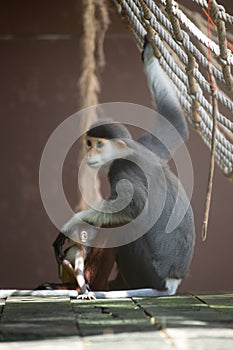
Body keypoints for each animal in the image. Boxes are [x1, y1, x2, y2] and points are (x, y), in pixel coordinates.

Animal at [52, 41, 195, 298]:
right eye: (89, 143)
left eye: (99, 145)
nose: (89, 154)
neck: (127, 151)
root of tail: (171, 283)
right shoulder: (150, 146)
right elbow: (175, 123)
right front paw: (149, 55)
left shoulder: (122, 171)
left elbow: (136, 206)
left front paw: (72, 223)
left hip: (146, 269)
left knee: (123, 225)